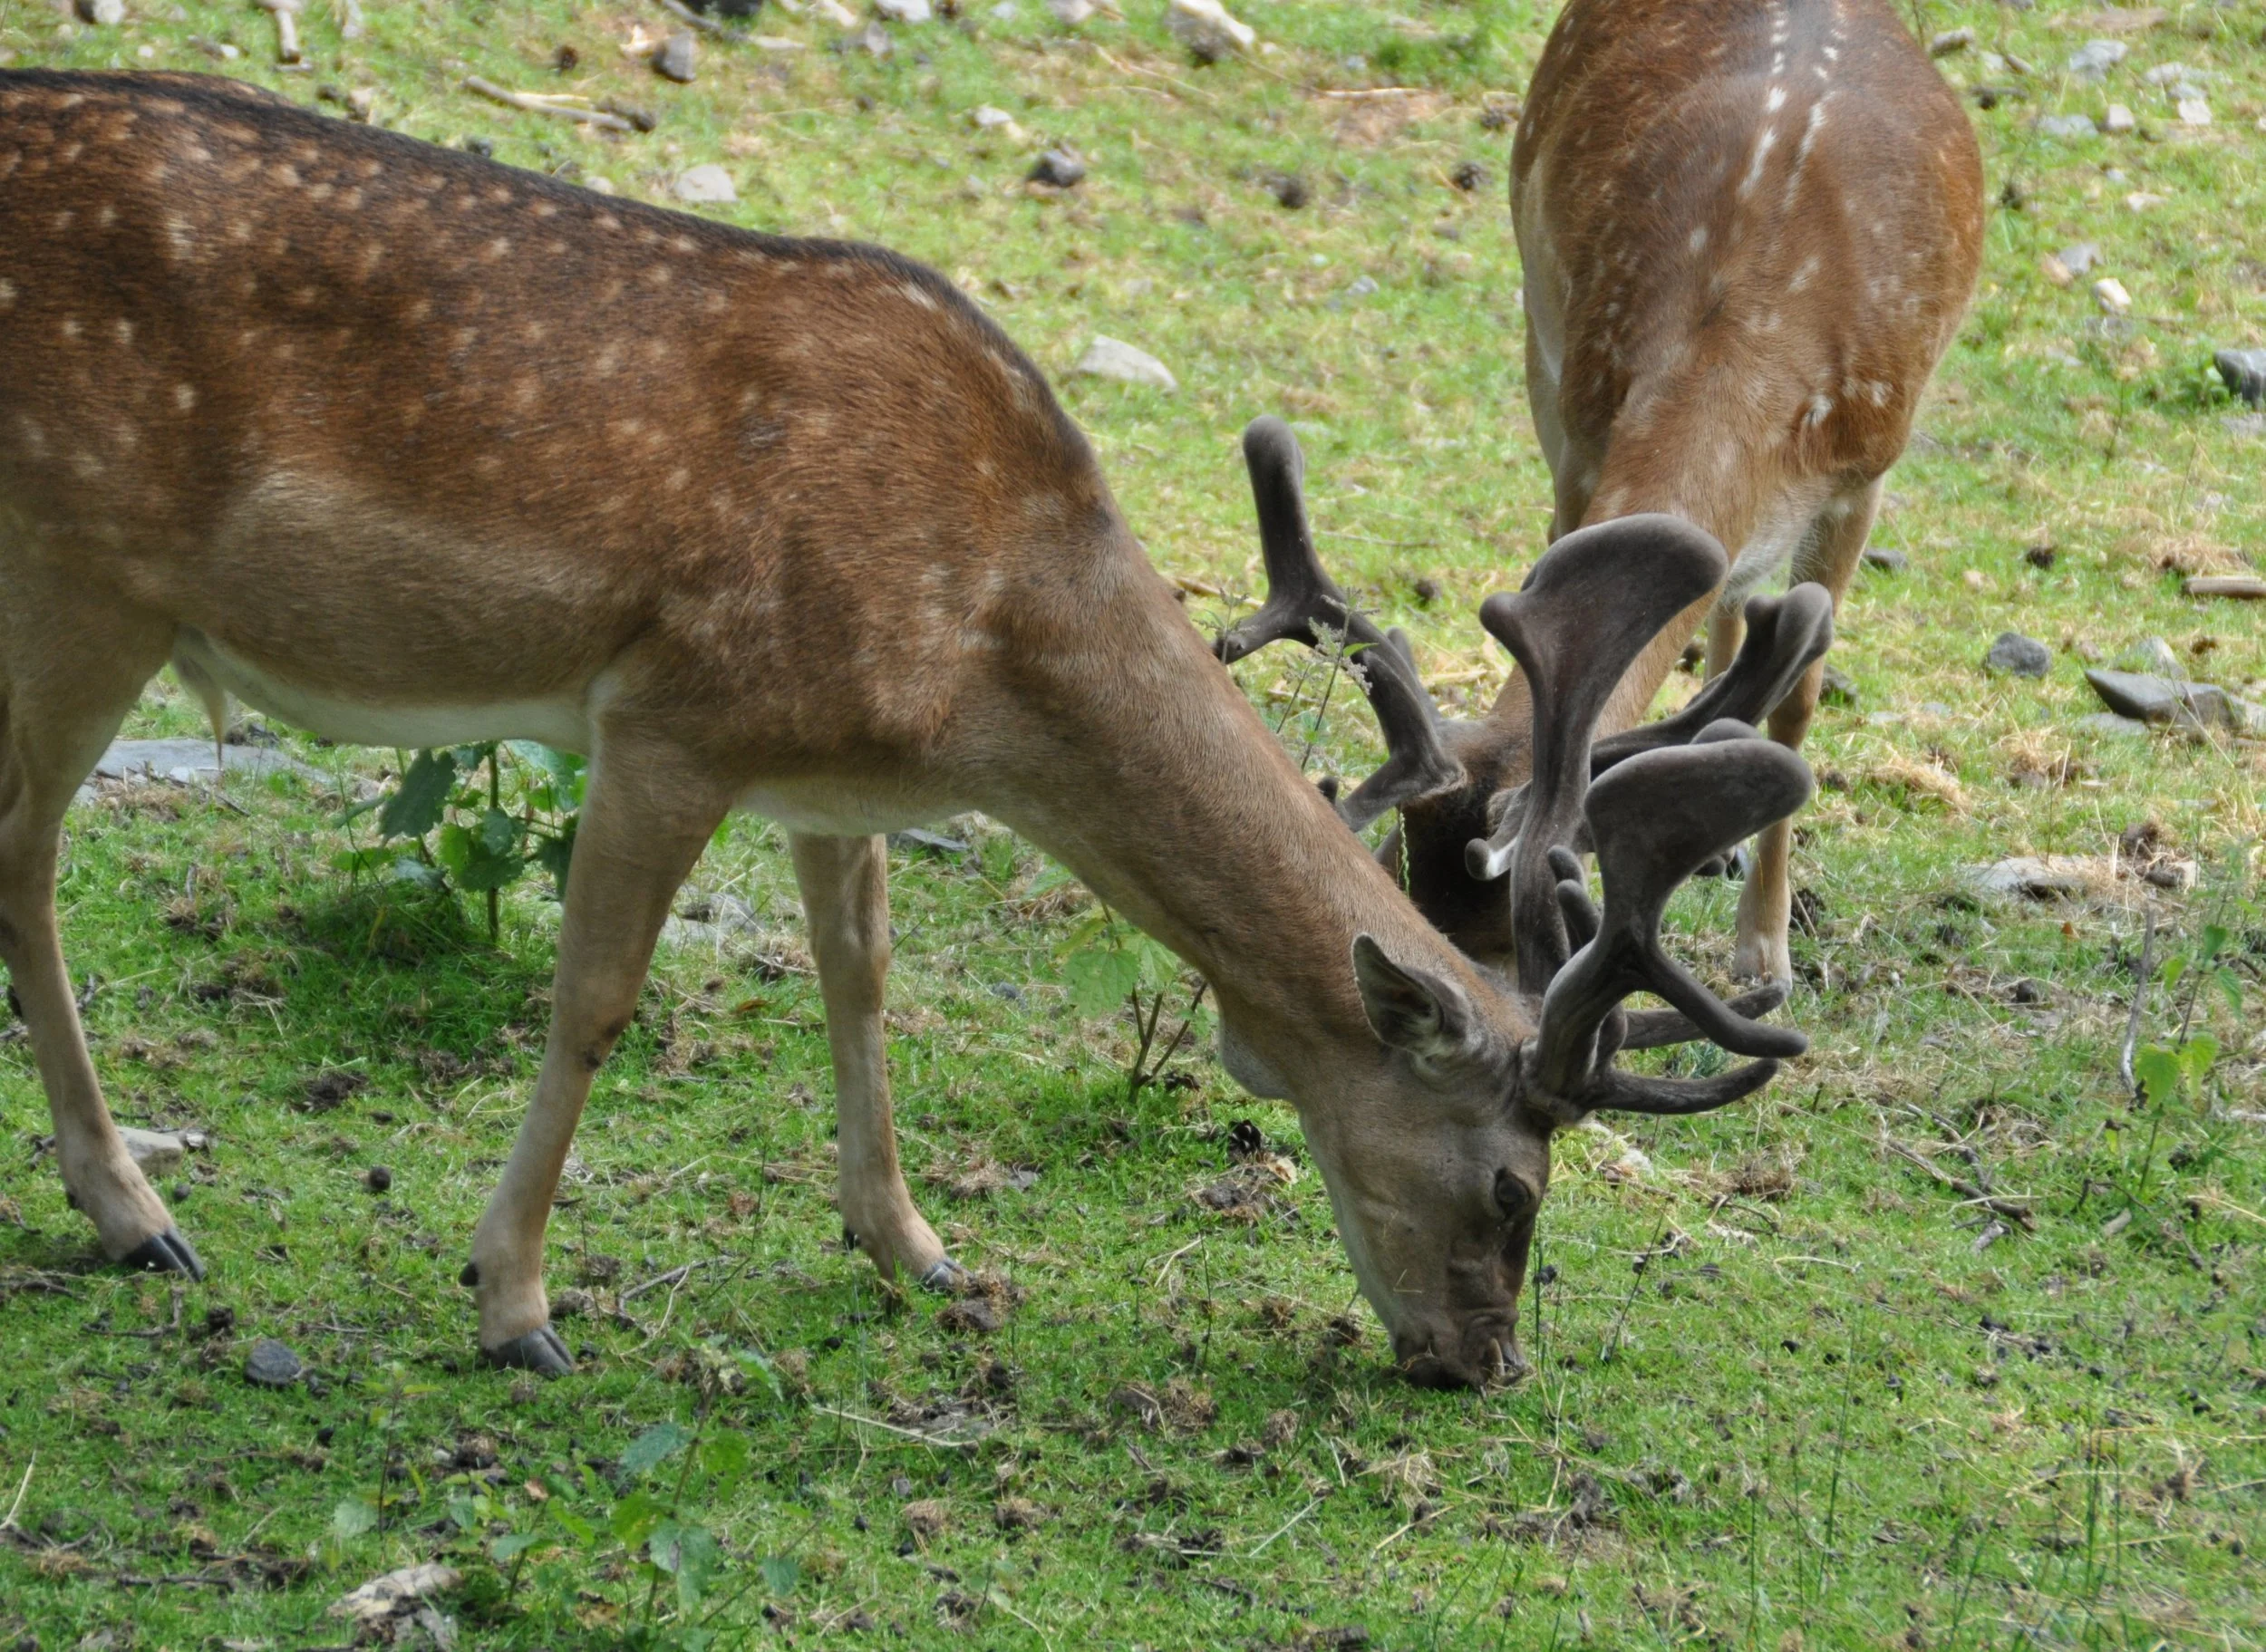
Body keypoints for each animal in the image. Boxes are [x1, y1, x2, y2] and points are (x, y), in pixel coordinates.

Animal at [3, 70, 1811, 1389]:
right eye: (1514, 1182)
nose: (1485, 1364)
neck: (982, 673)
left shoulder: (827, 776)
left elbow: (862, 975)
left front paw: (916, 1245)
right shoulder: (673, 712)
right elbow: (596, 1000)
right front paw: (513, 1302)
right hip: (84, 574)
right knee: (23, 856)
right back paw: (136, 1214)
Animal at [1225, 0, 1982, 988]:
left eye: (1516, 945)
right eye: (1402, 874)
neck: (1754, 311)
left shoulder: (1865, 473)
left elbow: (1798, 699)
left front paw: (1764, 951)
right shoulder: (1580, 410)